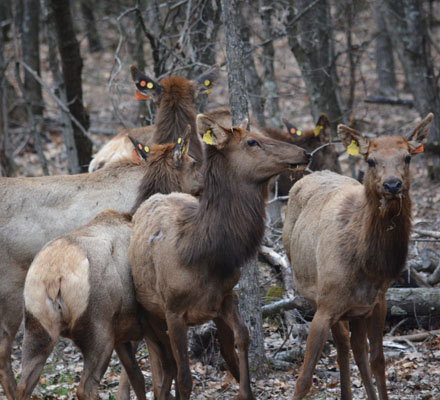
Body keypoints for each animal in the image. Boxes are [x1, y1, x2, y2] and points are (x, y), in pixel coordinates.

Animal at [128, 113, 310, 400]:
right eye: (251, 141)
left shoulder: (225, 296)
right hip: (146, 312)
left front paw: (247, 392)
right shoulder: (173, 310)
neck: (201, 254)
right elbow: (184, 378)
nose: (305, 153)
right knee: (156, 370)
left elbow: (241, 340)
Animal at [282, 113, 434, 400]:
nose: (392, 184)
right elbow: (304, 377)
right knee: (343, 345)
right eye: (370, 160)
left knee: (354, 347)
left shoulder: (377, 302)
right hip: (317, 295)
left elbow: (378, 362)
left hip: (355, 309)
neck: (365, 264)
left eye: (407, 157)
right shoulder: (325, 304)